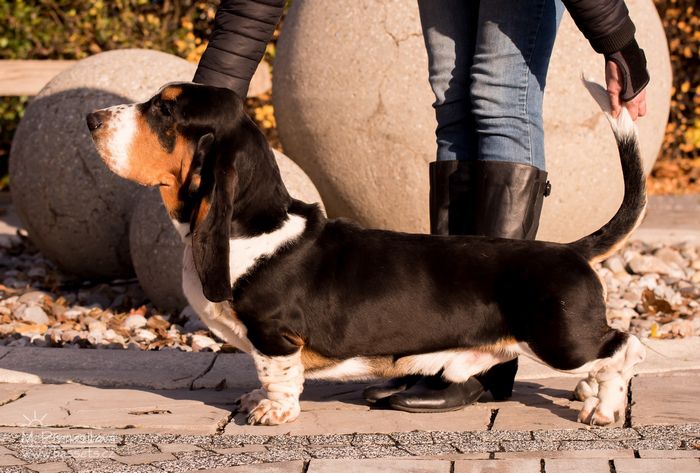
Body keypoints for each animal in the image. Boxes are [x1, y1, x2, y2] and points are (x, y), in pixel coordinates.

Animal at [87, 79, 644, 426]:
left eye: (164, 109)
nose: (91, 118)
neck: (252, 227)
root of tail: (571, 250)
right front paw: (254, 401)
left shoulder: (275, 335)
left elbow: (277, 375)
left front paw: (271, 412)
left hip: (558, 340)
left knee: (623, 347)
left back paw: (603, 408)